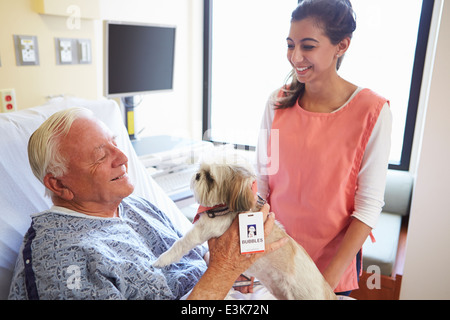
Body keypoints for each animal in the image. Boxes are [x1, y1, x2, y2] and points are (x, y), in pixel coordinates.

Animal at [153, 156, 336, 298]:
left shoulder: (203, 229)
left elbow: (181, 244)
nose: (197, 175)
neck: (226, 208)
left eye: (210, 177)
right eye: (200, 169)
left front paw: (162, 260)